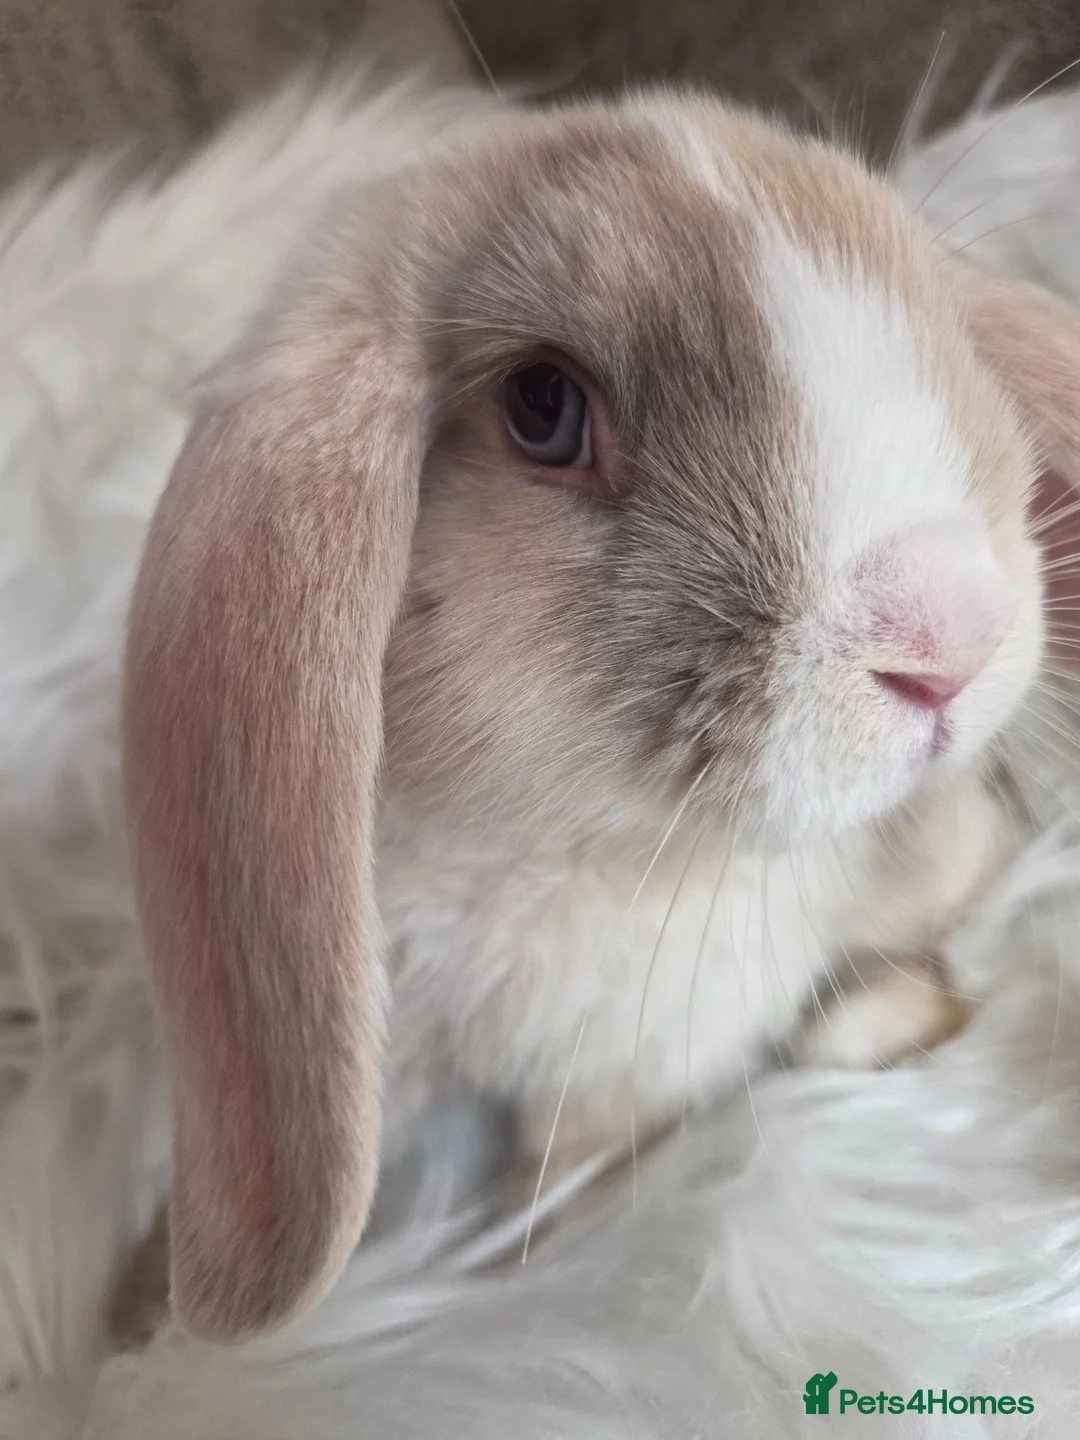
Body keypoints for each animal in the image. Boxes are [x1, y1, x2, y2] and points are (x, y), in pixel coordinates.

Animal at [118, 85, 1080, 1346]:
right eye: (543, 407)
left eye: (936, 321)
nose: (952, 637)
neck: (569, 842)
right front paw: (134, 1316)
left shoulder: (627, 1070)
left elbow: (566, 1173)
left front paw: (519, 1259)